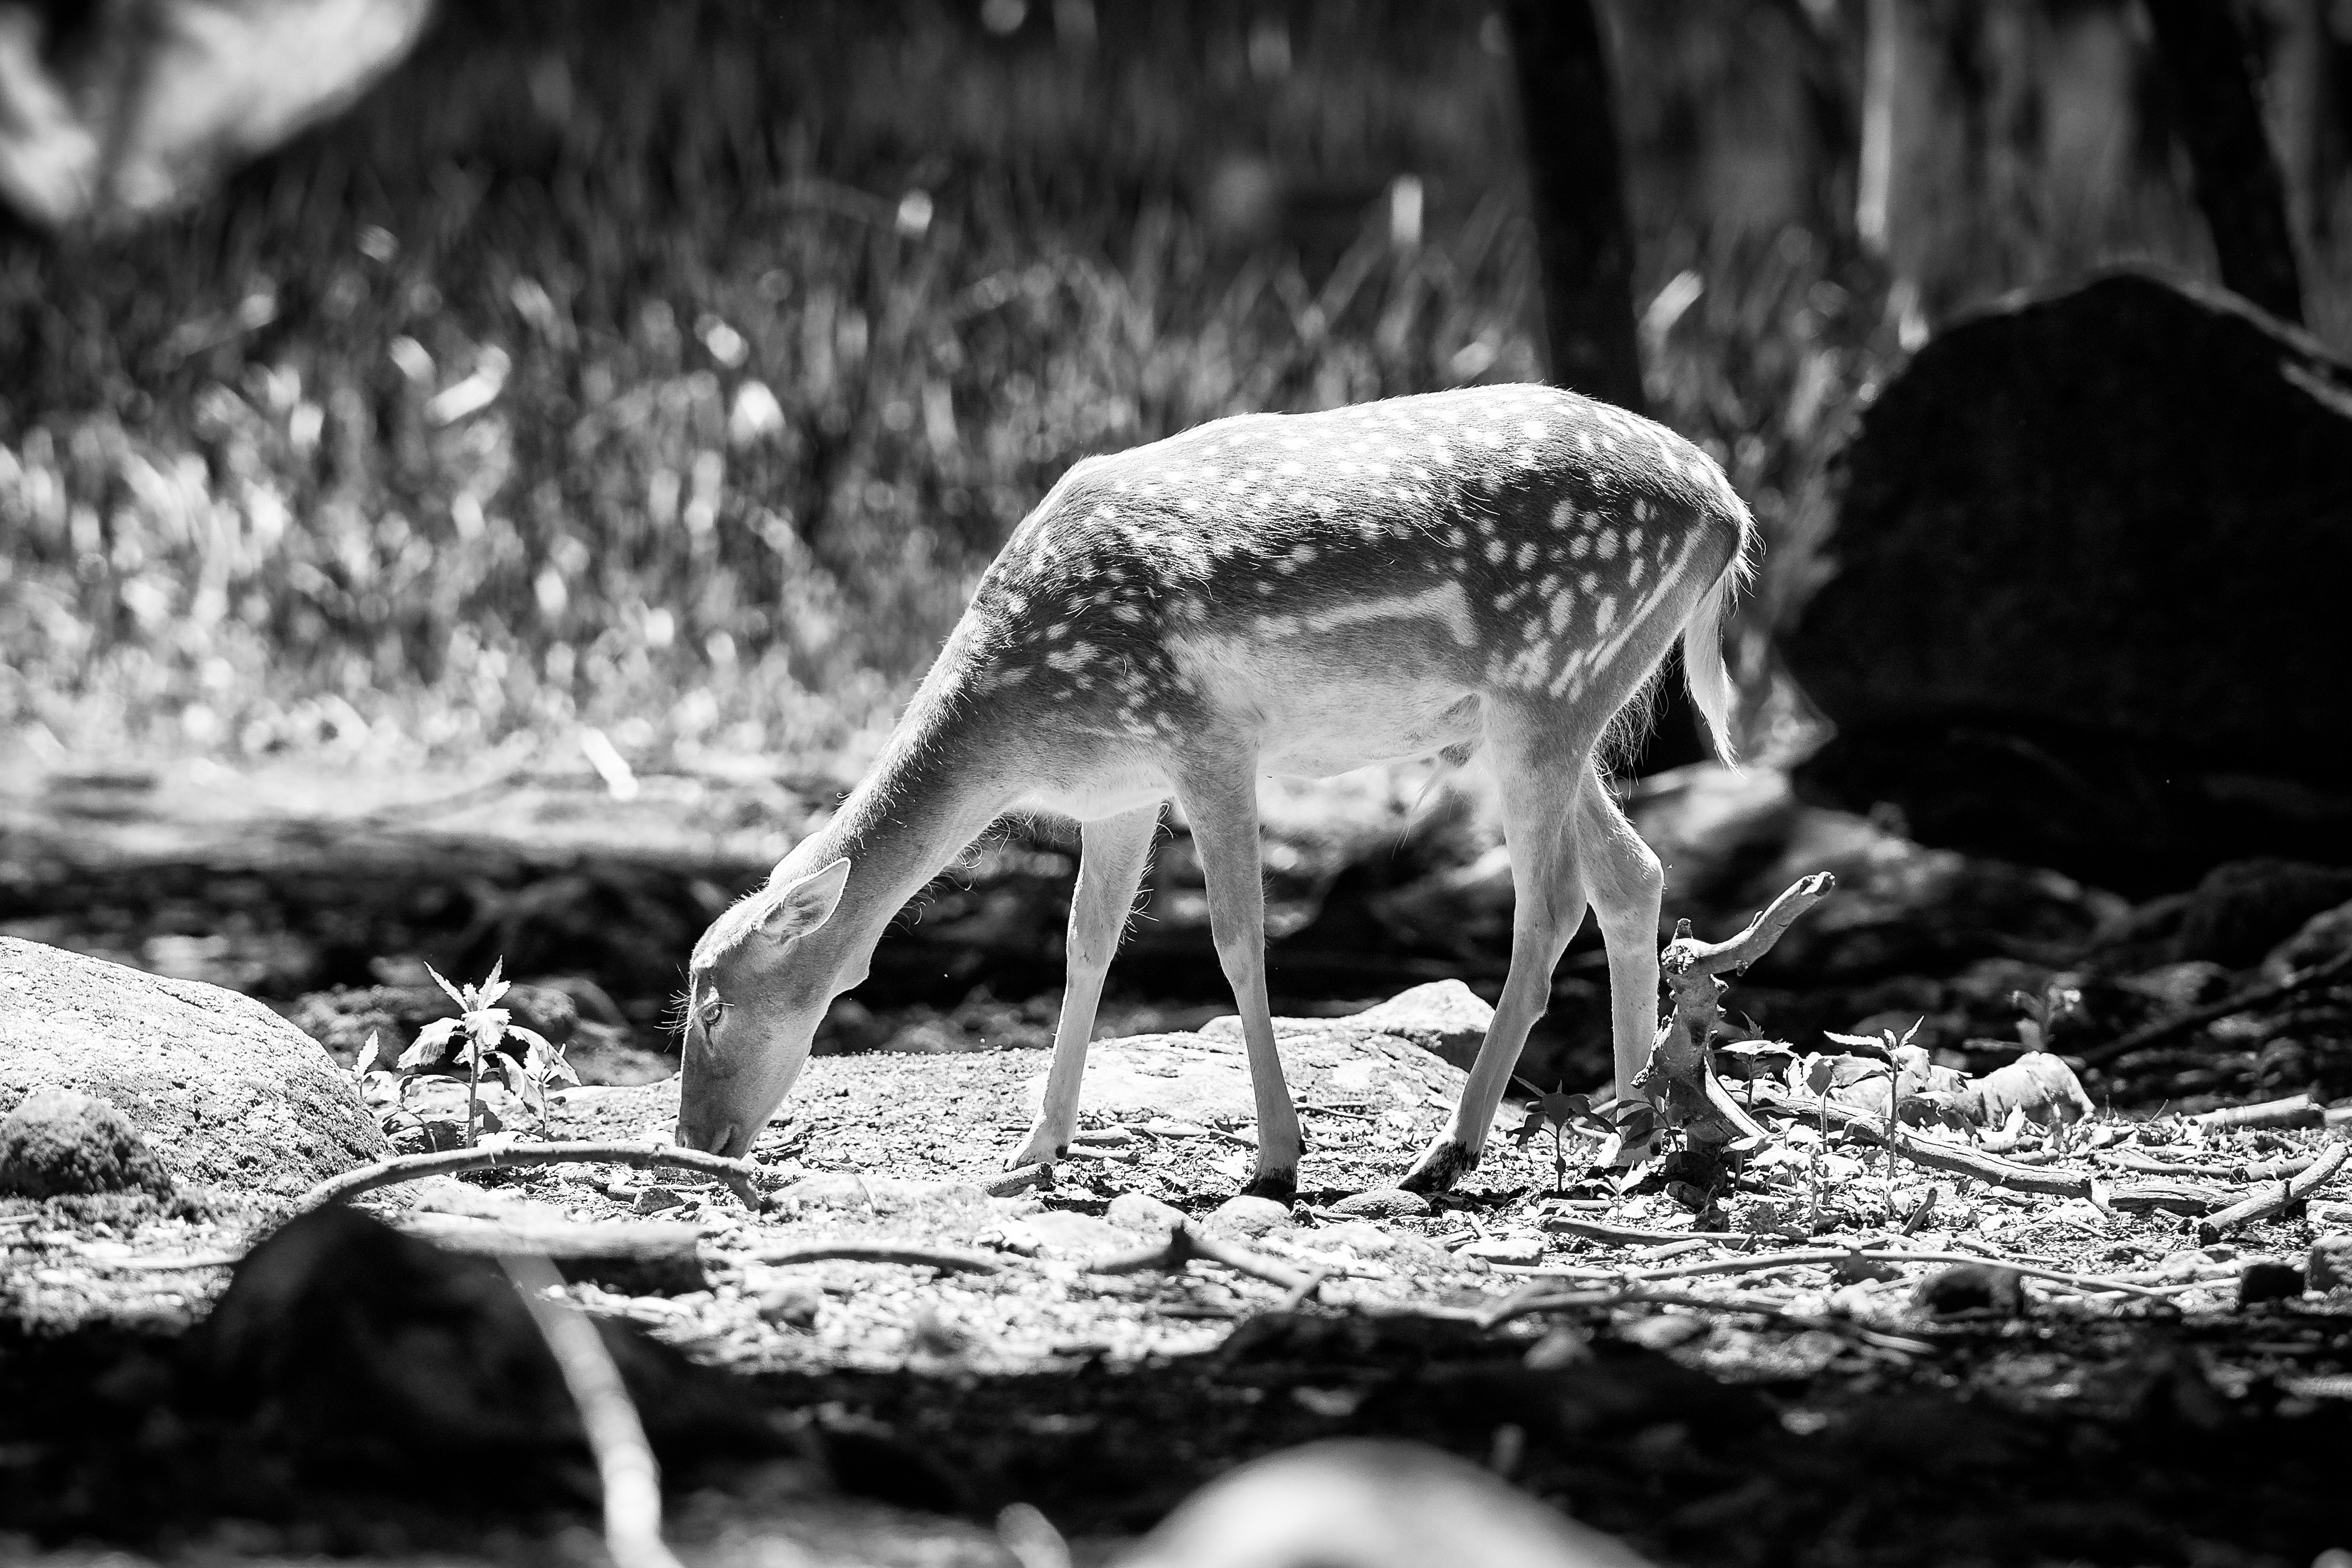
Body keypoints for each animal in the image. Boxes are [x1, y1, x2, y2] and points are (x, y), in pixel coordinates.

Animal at [677, 385, 1750, 1194]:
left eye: (713, 1005)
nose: (695, 1139)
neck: (1026, 724)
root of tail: (1728, 511)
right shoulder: (1119, 789)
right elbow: (1085, 944)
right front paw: (1036, 1146)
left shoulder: (1207, 740)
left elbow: (1236, 939)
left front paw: (1276, 1156)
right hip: (1536, 711)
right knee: (1633, 874)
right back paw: (1631, 1133)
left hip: (1549, 681)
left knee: (1553, 901)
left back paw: (1449, 1152)